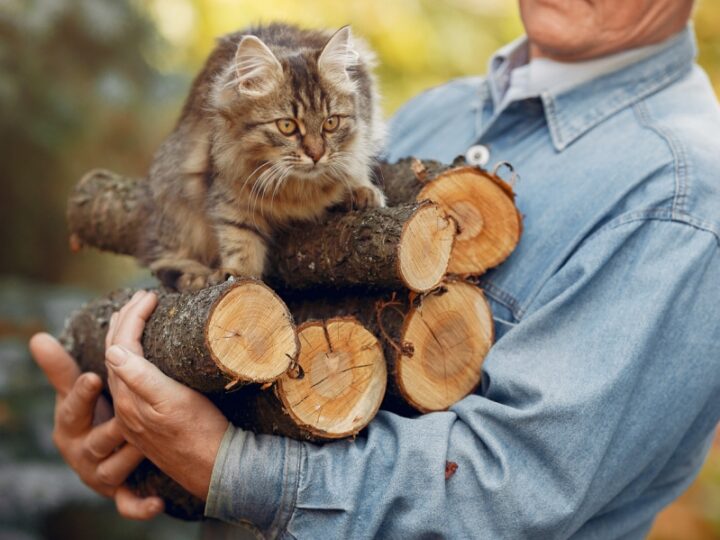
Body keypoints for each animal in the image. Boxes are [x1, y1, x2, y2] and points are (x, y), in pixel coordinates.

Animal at [141, 22, 388, 292]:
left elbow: (355, 166)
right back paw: (193, 277)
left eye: (331, 123)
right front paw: (239, 276)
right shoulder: (230, 194)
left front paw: (361, 190)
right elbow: (240, 240)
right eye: (287, 126)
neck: (297, 189)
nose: (316, 154)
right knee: (167, 258)